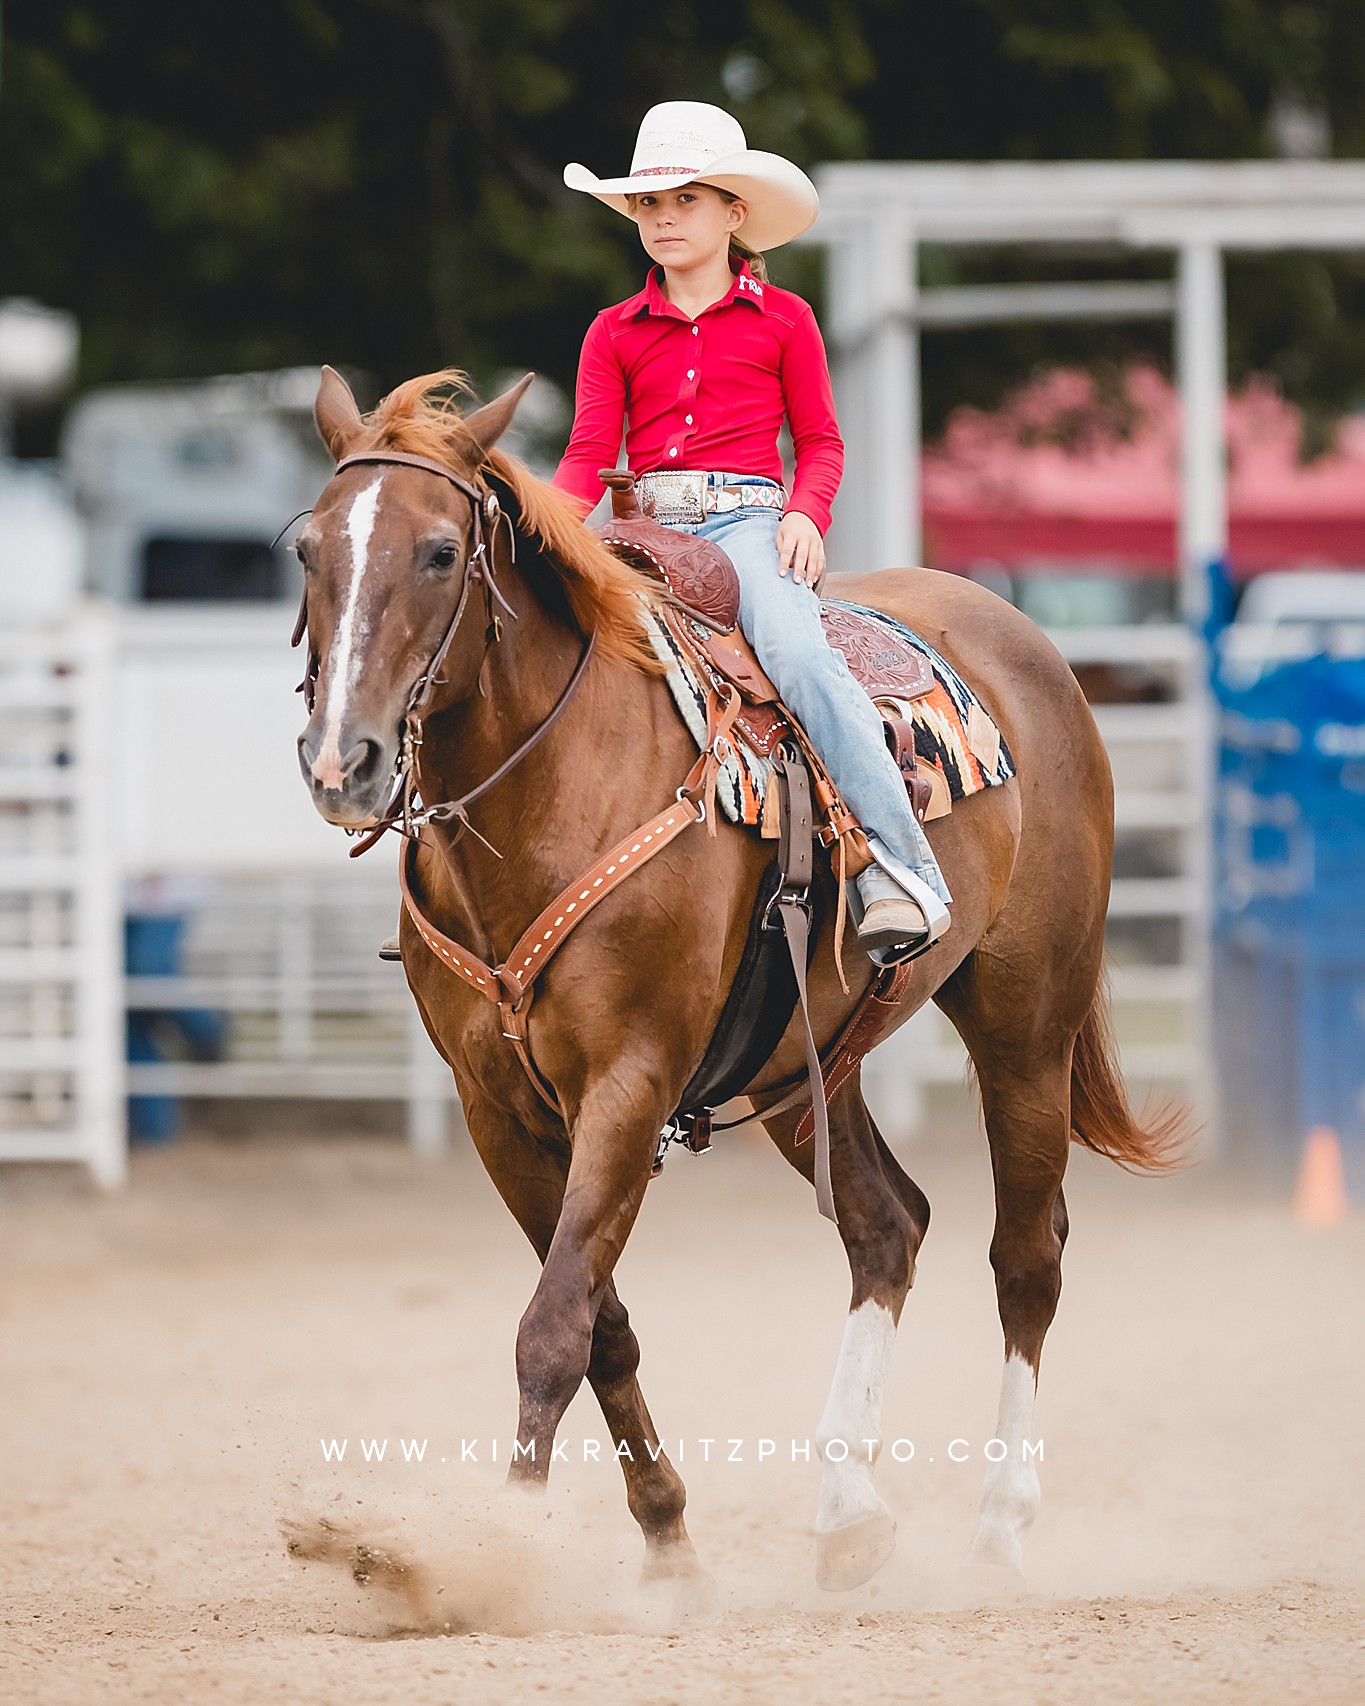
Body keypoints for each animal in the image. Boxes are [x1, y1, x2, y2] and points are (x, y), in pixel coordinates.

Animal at [293, 366, 1180, 1603]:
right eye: (306, 550)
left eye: (437, 551)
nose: (345, 761)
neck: (553, 788)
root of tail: (1028, 645)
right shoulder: (497, 1109)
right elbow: (601, 1319)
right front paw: (668, 1540)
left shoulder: (628, 1081)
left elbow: (554, 1323)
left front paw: (495, 1551)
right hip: (803, 1062)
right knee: (886, 1226)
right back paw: (848, 1509)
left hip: (1025, 1018)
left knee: (1027, 1257)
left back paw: (999, 1530)